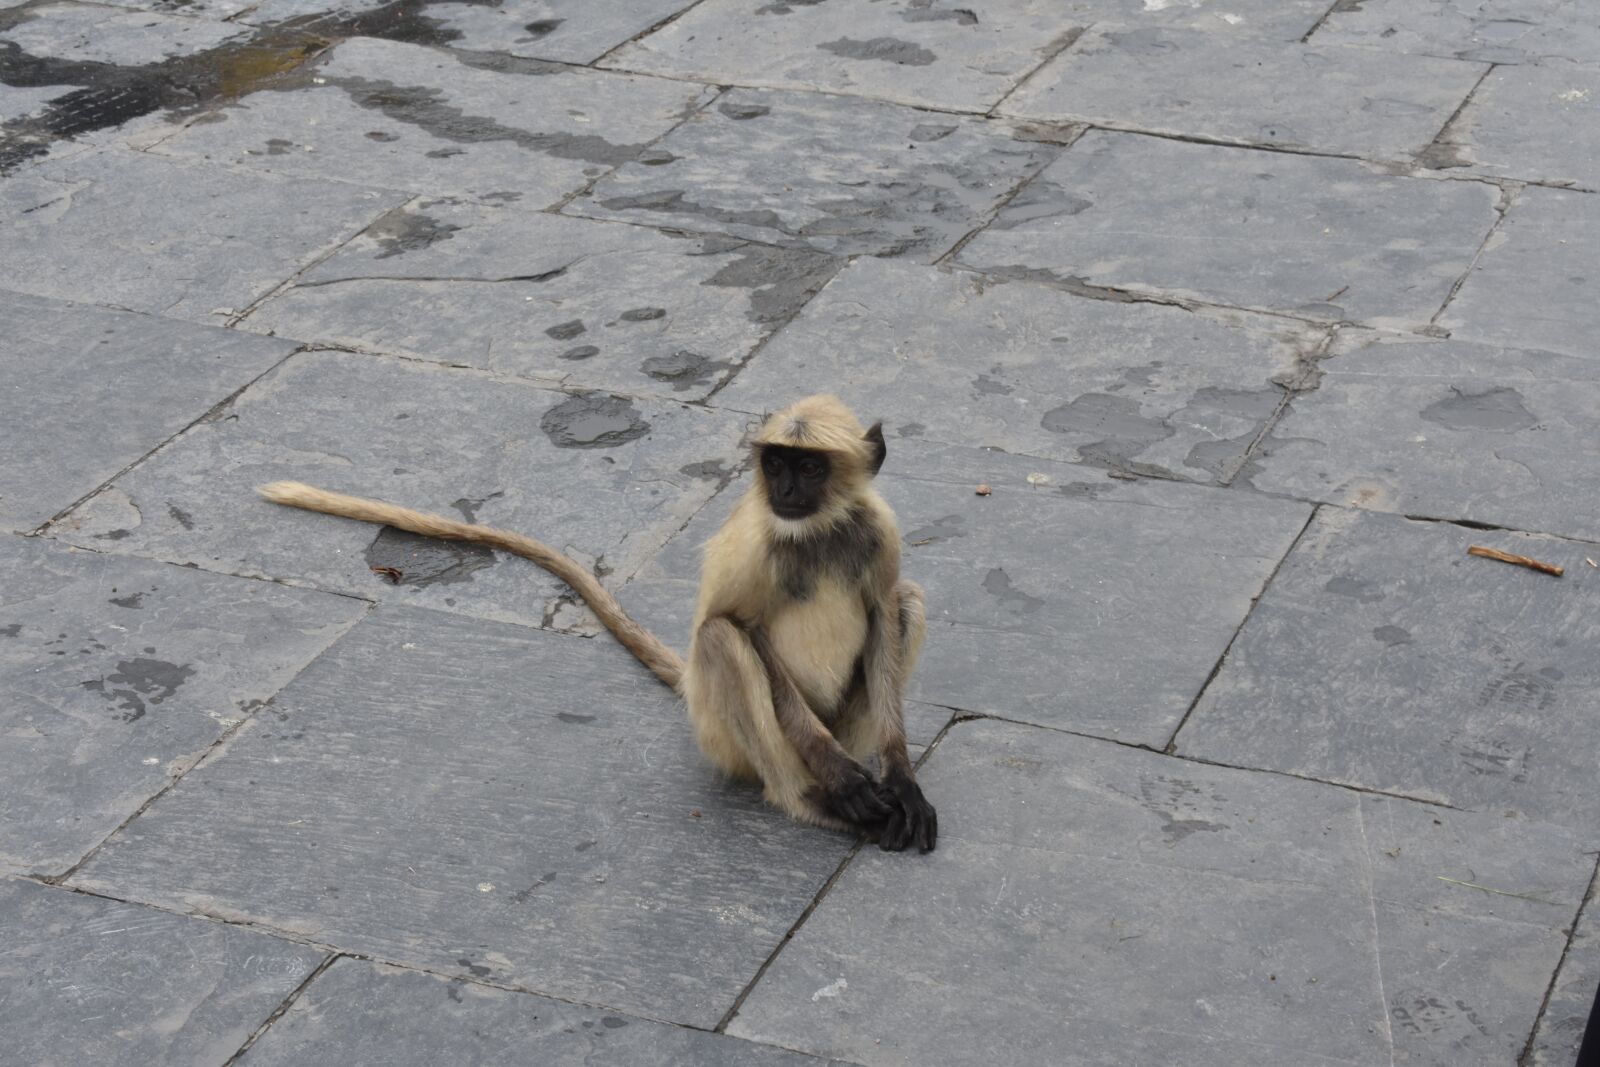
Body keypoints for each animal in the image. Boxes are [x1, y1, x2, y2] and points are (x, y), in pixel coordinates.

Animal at [257, 394, 936, 852]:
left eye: (810, 467)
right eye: (776, 464)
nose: (786, 490)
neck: (815, 532)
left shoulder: (876, 528)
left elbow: (884, 606)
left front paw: (901, 781)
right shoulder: (760, 543)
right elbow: (732, 621)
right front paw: (846, 783)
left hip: (843, 721)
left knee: (905, 600)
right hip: (724, 736)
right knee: (720, 640)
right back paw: (812, 799)